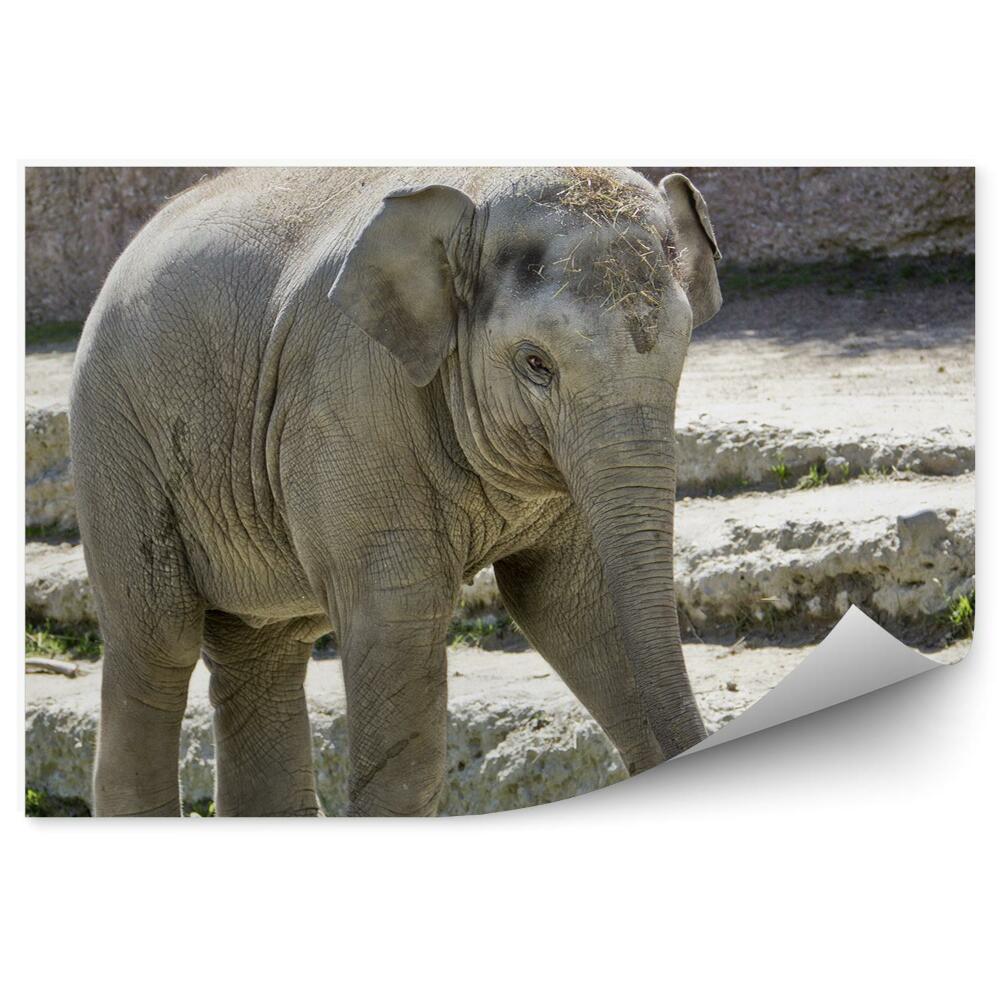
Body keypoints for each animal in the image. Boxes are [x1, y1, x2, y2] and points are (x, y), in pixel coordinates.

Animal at [69, 166, 722, 817]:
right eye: (536, 363)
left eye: (683, 348)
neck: (472, 200)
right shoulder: (346, 397)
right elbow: (397, 616)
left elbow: (574, 603)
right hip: (116, 441)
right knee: (156, 646)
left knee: (260, 657)